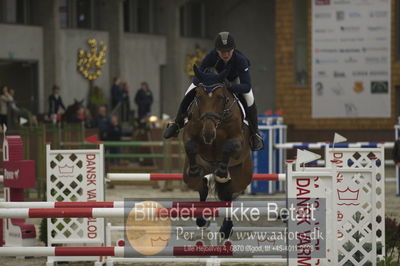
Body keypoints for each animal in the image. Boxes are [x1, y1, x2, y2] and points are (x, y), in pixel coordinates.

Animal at [182, 65, 252, 239]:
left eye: (221, 97)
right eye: (198, 96)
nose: (208, 134)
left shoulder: (238, 142)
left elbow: (229, 146)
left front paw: (221, 169)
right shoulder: (189, 133)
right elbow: (190, 145)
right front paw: (195, 168)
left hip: (242, 177)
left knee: (229, 195)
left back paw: (226, 228)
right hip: (189, 177)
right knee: (202, 186)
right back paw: (202, 220)